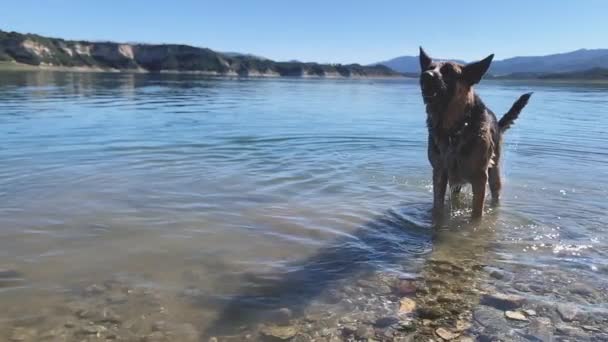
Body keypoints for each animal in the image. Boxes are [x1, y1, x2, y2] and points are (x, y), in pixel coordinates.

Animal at [418, 47, 532, 219]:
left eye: (449, 71)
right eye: (429, 68)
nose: (425, 76)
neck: (454, 129)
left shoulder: (479, 178)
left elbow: (476, 215)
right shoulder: (439, 173)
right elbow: (438, 207)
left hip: (494, 173)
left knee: (496, 194)